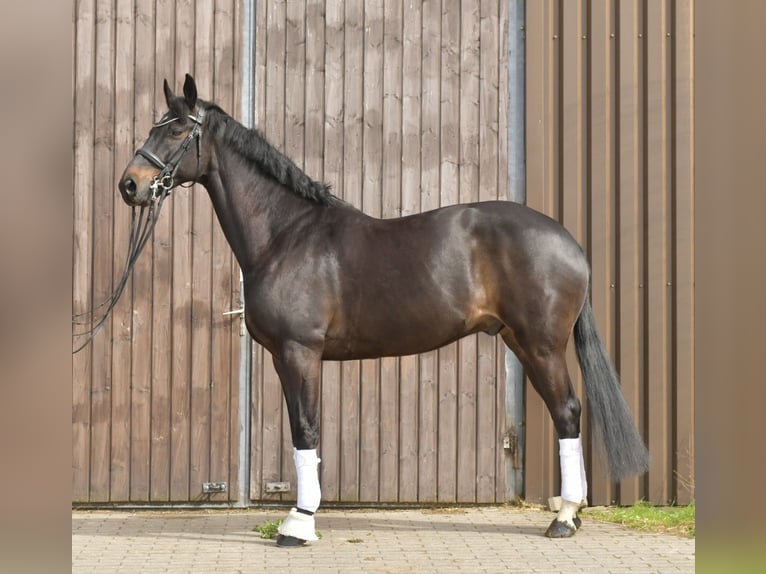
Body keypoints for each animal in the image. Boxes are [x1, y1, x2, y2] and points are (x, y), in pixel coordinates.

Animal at [118, 74, 649, 544]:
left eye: (178, 130)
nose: (130, 185)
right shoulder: (283, 358)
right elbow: (299, 430)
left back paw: (564, 519)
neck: (286, 234)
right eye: (154, 125)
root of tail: (569, 242)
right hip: (520, 341)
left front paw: (299, 524)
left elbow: (306, 429)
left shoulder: (300, 351)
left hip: (542, 346)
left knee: (567, 412)